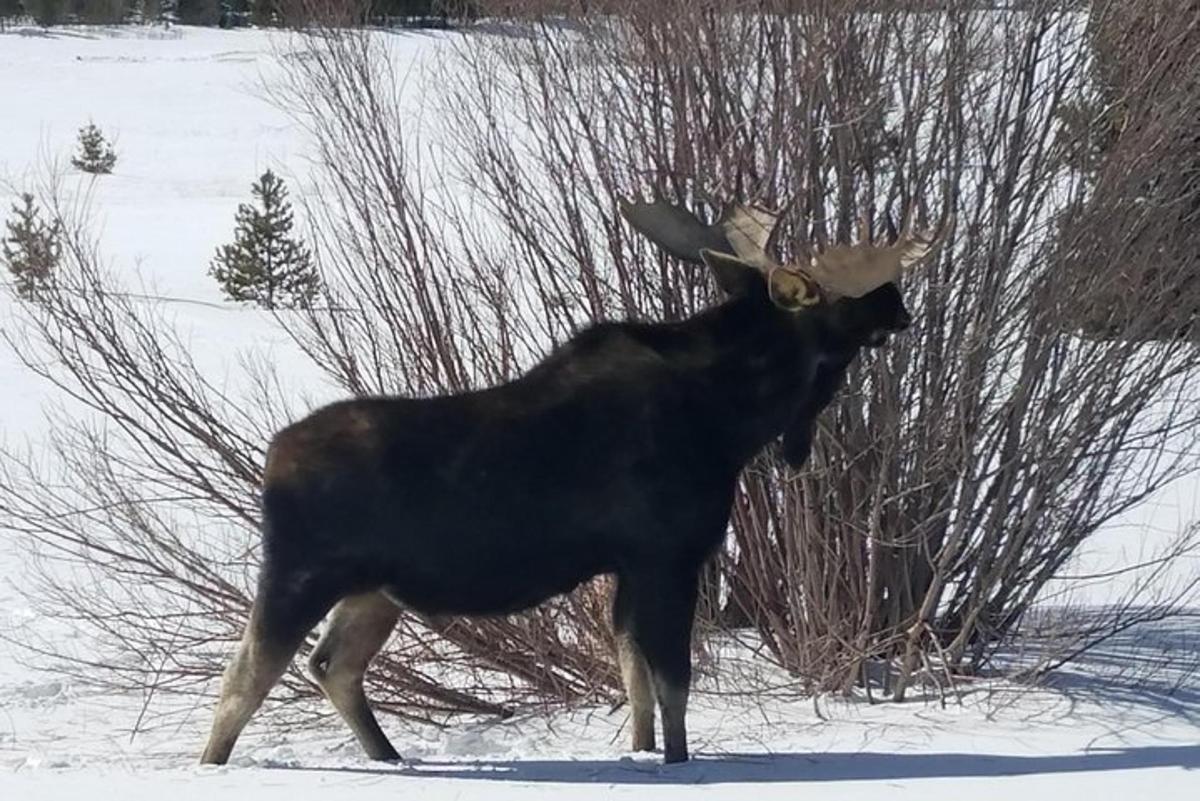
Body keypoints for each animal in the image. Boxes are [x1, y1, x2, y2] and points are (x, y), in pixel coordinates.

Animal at [199, 196, 945, 767]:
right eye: (838, 294)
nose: (900, 304)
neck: (735, 421)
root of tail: (272, 456)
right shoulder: (668, 553)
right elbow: (673, 682)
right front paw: (678, 764)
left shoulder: (626, 565)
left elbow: (635, 681)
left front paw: (642, 755)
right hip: (302, 571)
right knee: (245, 676)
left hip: (373, 588)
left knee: (333, 665)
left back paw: (391, 759)